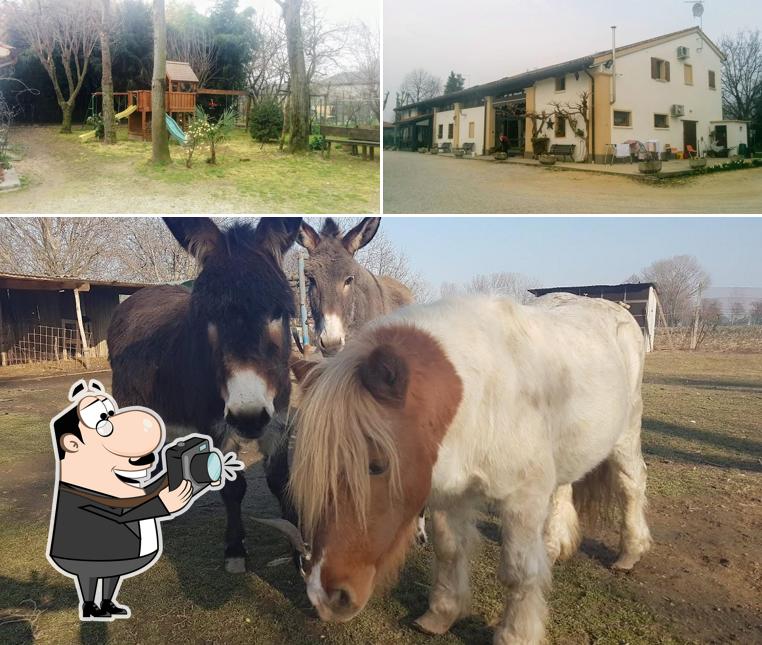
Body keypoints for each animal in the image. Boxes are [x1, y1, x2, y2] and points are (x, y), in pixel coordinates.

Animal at [284, 294, 648, 644]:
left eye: (377, 466)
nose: (325, 596)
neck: (482, 397)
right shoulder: (450, 495)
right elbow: (449, 550)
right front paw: (441, 615)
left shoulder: (523, 498)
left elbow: (518, 570)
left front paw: (515, 634)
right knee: (562, 490)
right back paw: (553, 547)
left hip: (626, 435)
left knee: (631, 485)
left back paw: (630, 553)